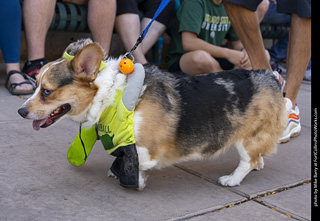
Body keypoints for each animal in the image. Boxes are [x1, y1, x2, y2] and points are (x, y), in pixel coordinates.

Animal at [17, 38, 288, 190]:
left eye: (47, 91)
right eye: (35, 84)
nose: (20, 111)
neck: (113, 96)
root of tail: (270, 75)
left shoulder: (146, 148)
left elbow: (135, 158)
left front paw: (131, 176)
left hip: (246, 137)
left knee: (248, 159)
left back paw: (232, 179)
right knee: (257, 156)